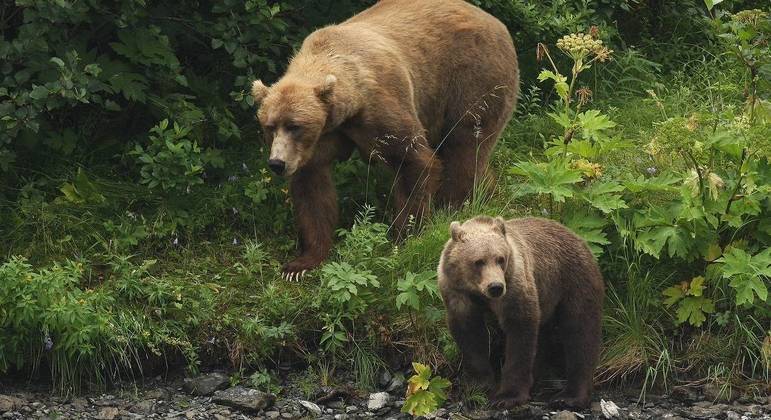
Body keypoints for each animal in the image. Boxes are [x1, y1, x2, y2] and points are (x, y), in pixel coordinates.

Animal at [252, 0, 520, 278]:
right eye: (269, 126)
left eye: (295, 126)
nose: (277, 163)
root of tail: (496, 22)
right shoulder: (322, 139)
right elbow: (313, 189)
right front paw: (301, 264)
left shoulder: (380, 108)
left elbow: (413, 161)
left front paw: (404, 237)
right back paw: (487, 193)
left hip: (473, 79)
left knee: (464, 146)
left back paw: (457, 207)